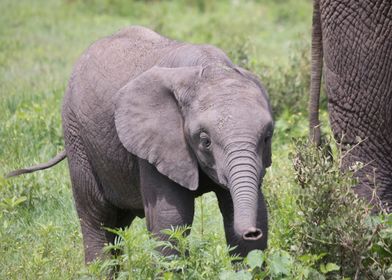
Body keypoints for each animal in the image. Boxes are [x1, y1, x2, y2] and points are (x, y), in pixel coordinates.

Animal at [7, 25, 274, 262]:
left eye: (267, 137)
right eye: (205, 141)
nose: (251, 232)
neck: (207, 68)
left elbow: (250, 210)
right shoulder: (154, 145)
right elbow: (170, 219)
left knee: (117, 225)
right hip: (77, 135)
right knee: (96, 215)